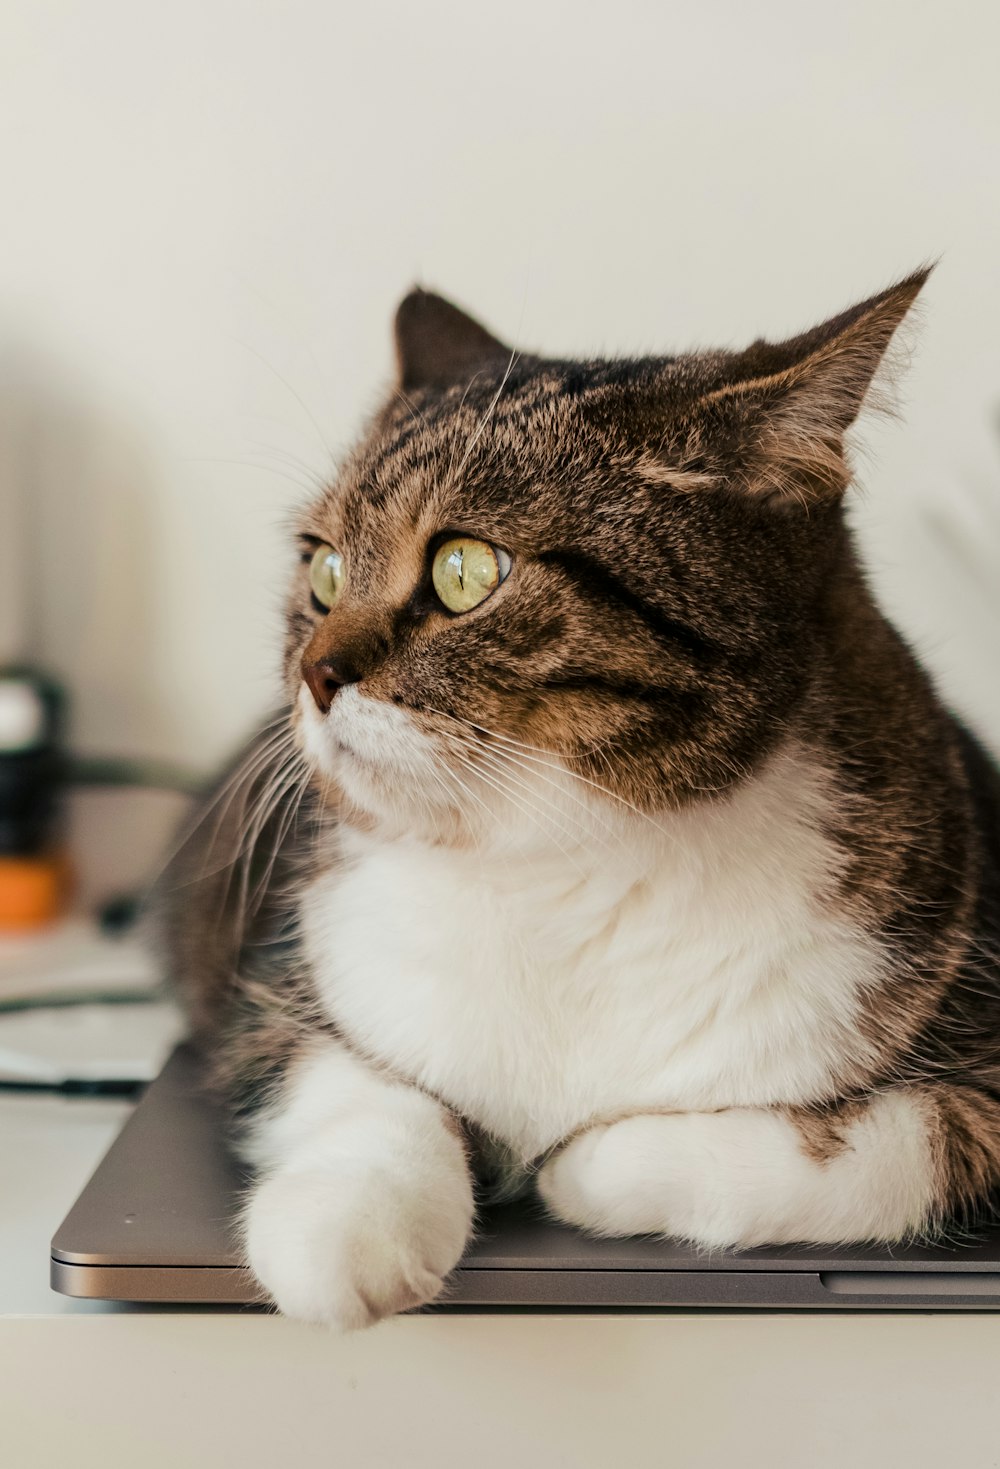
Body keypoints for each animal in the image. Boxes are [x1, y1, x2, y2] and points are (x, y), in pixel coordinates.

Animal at [161, 267, 998, 1333]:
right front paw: (345, 1235)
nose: (314, 673)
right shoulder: (274, 983)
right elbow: (359, 1083)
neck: (564, 868)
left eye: (465, 569)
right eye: (324, 568)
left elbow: (891, 1148)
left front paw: (587, 1167)